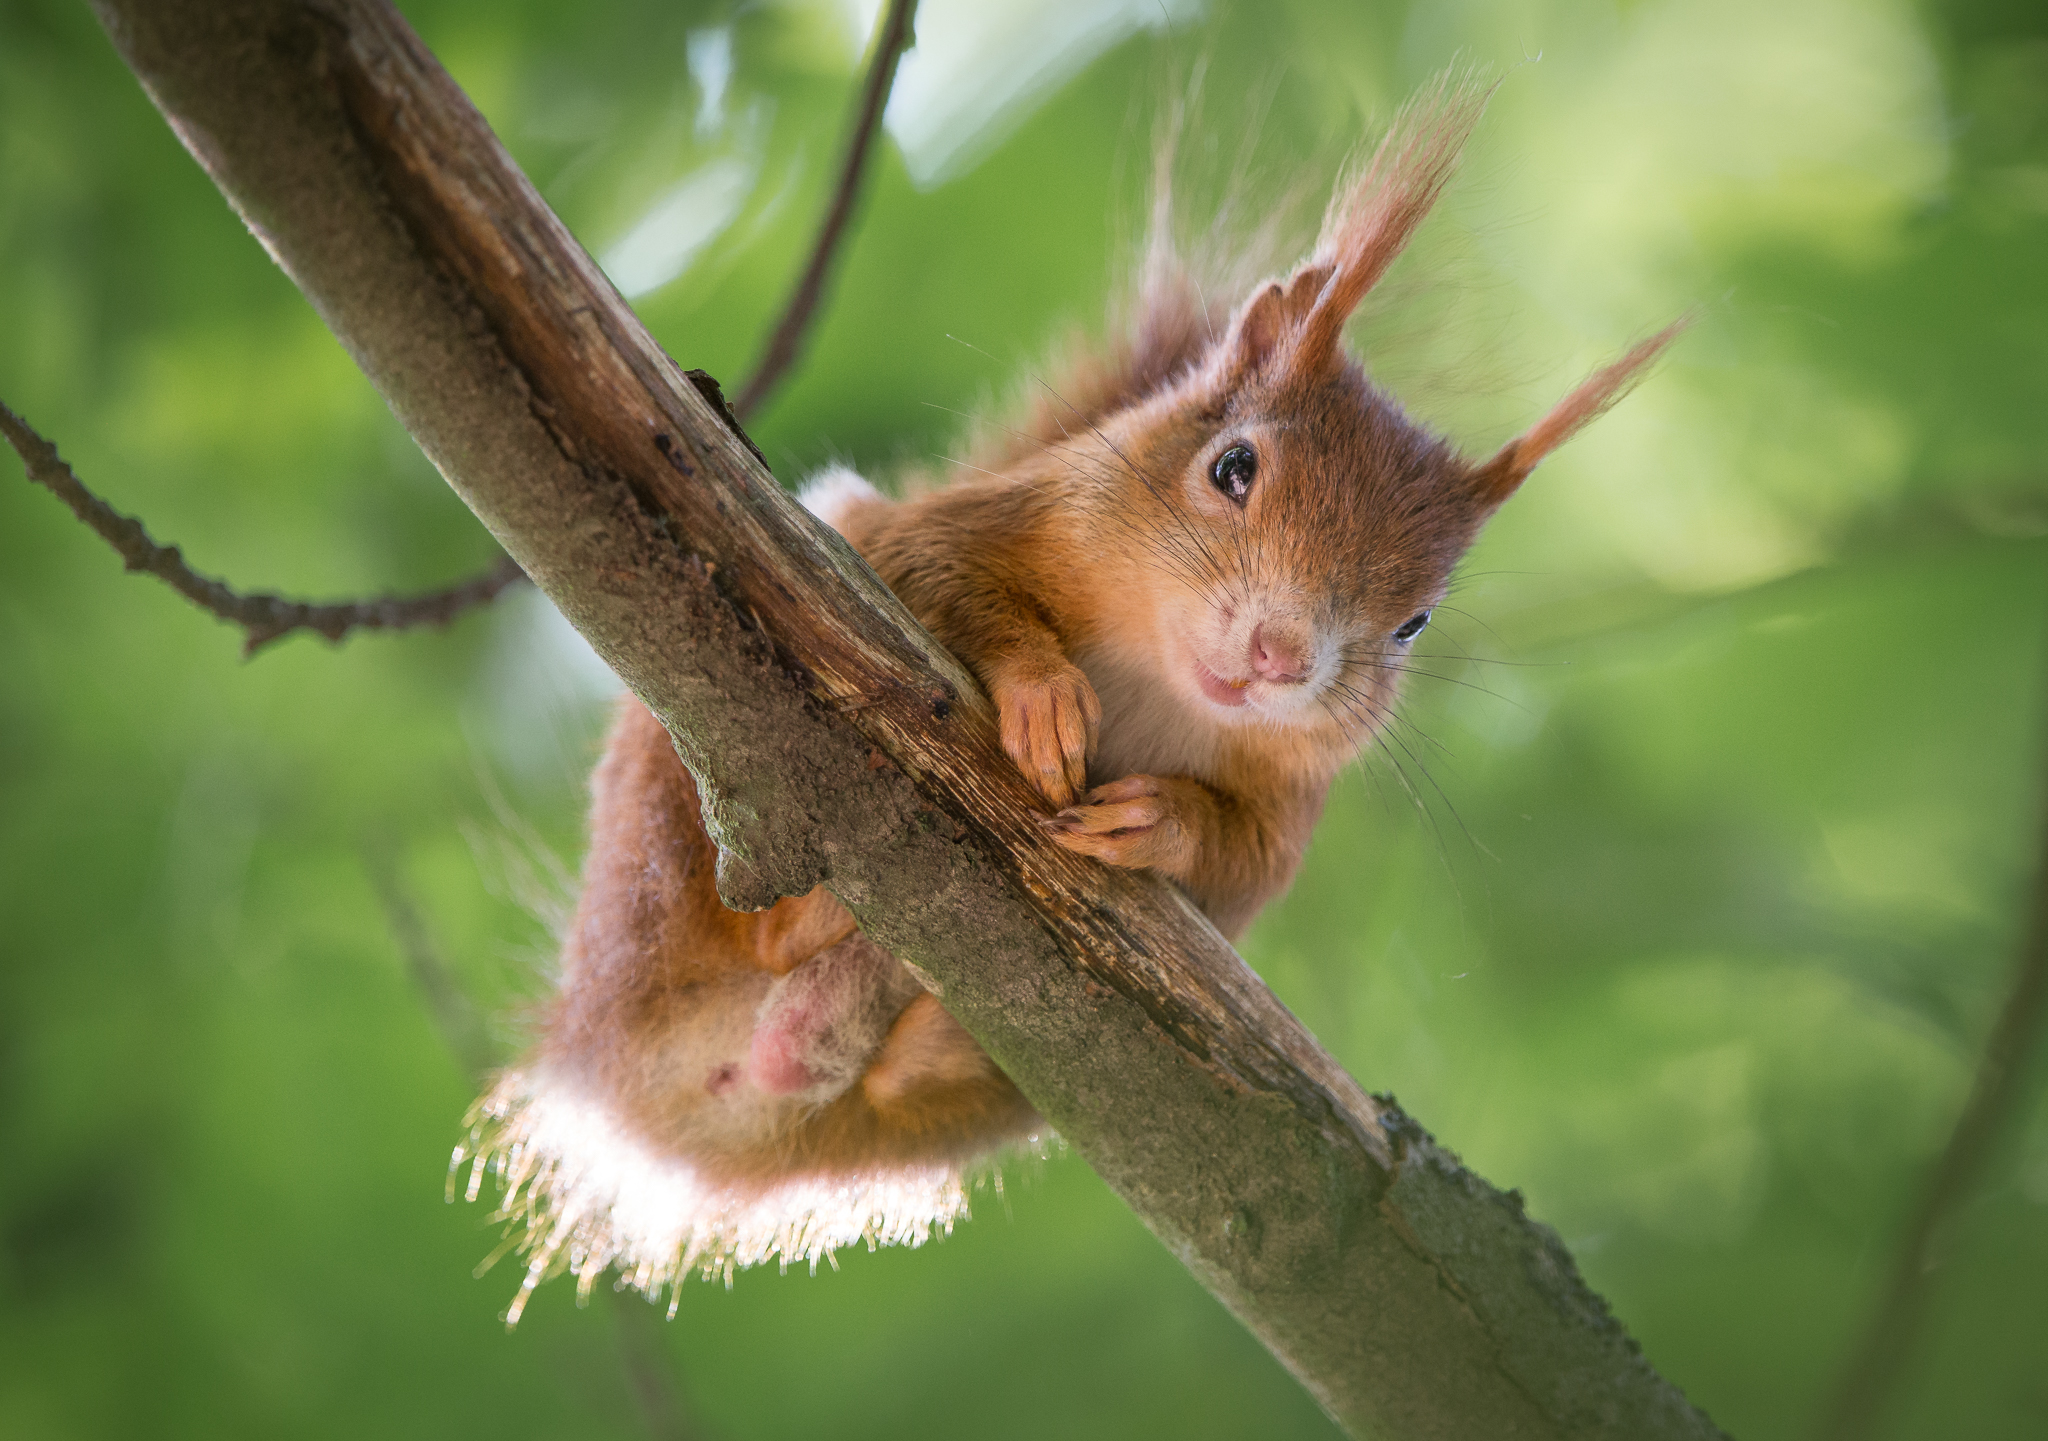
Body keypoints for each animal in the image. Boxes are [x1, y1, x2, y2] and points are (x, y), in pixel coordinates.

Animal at [457, 71, 1684, 1321]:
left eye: (1412, 623)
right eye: (1232, 466)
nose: (1280, 655)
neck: (1160, 680)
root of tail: (625, 1075)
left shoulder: (1286, 808)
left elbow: (1239, 857)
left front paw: (1159, 818)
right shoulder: (967, 525)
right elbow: (946, 579)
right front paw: (1042, 694)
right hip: (672, 829)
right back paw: (807, 923)